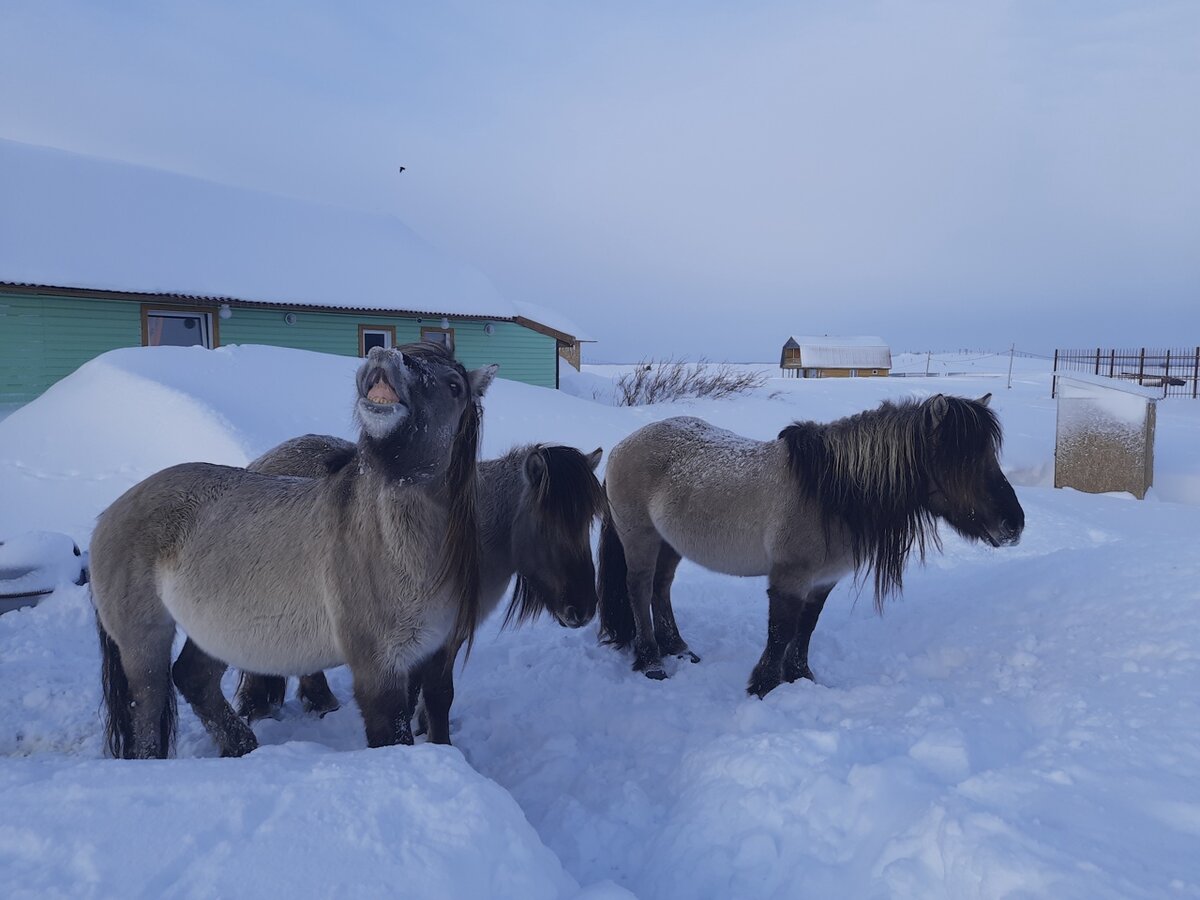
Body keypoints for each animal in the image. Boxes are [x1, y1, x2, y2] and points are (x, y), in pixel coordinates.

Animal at [87, 340, 492, 758]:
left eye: (454, 385)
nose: (388, 355)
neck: (398, 549)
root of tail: (110, 512)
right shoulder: (378, 665)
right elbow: (391, 732)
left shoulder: (438, 650)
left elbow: (438, 704)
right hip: (144, 640)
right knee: (146, 705)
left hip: (217, 635)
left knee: (194, 679)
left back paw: (243, 747)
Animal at [234, 434, 609, 744]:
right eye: (547, 524)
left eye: (587, 522)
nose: (583, 609)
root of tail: (262, 463)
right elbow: (435, 694)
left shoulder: (437, 638)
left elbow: (426, 691)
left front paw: (426, 730)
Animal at [597, 393, 1022, 696]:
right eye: (961, 460)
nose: (1014, 524)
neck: (830, 493)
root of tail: (621, 446)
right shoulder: (790, 578)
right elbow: (781, 631)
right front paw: (765, 686)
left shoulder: (822, 582)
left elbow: (805, 630)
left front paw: (801, 679)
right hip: (641, 536)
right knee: (639, 588)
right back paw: (652, 661)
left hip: (671, 542)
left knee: (661, 587)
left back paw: (678, 648)